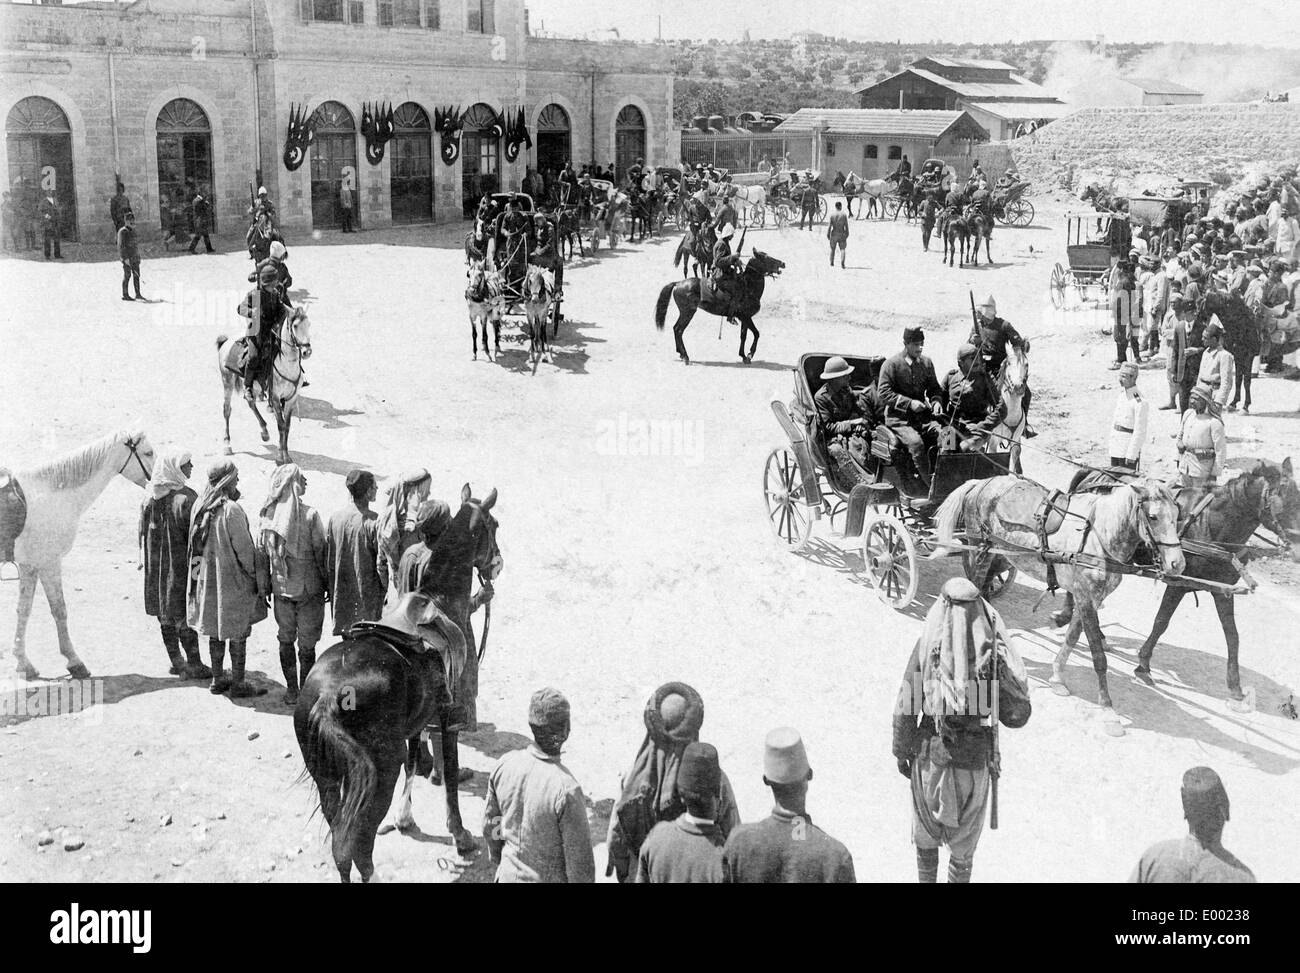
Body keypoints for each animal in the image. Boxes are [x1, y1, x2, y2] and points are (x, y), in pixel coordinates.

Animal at [10, 429, 154, 681]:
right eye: (148, 453)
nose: (158, 482)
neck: (53, 493)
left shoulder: (30, 566)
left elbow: (24, 610)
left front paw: (23, 663)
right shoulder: (49, 564)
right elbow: (59, 610)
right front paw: (74, 662)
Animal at [217, 308, 313, 468]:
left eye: (309, 324)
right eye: (295, 326)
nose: (307, 352)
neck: (286, 363)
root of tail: (226, 341)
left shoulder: (291, 399)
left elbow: (287, 426)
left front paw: (287, 456)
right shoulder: (275, 398)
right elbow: (281, 425)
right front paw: (280, 457)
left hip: (254, 387)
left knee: (250, 401)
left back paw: (264, 431)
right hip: (227, 381)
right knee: (227, 410)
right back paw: (227, 445)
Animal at [296, 483, 501, 879]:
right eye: (494, 525)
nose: (498, 563)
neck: (439, 599)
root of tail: (328, 697)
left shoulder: (417, 721)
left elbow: (415, 760)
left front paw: (405, 818)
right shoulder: (448, 718)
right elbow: (449, 775)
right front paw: (460, 835)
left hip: (328, 778)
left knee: (340, 841)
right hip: (377, 777)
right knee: (359, 846)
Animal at [655, 251, 785, 364]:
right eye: (767, 258)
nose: (783, 263)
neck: (748, 286)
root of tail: (677, 283)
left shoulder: (744, 318)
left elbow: (743, 336)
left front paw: (743, 356)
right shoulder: (746, 317)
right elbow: (756, 334)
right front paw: (749, 355)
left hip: (685, 313)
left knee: (676, 329)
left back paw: (681, 354)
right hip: (688, 312)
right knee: (678, 330)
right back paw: (686, 356)